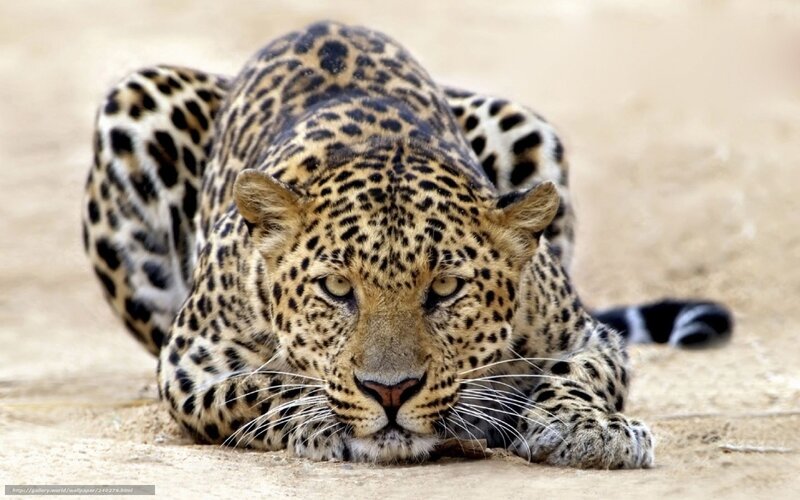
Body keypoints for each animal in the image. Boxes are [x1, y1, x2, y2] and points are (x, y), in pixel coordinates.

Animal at [82, 21, 733, 468]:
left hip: (521, 121)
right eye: (336, 288)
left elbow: (576, 374)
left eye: (444, 289)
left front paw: (588, 429)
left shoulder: (586, 335)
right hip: (134, 102)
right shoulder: (190, 362)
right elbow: (265, 385)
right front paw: (322, 419)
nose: (390, 391)